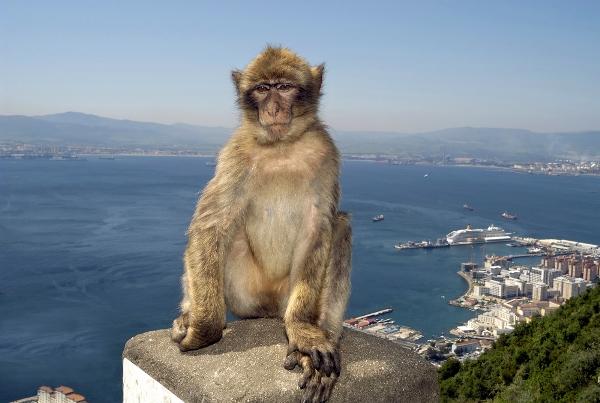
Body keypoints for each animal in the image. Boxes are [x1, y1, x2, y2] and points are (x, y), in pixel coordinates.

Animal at [170, 45, 352, 402]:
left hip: (284, 295)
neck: (281, 145)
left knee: (340, 226)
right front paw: (204, 328)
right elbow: (211, 225)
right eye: (262, 89)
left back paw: (322, 333)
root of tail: (267, 311)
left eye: (284, 87)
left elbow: (318, 228)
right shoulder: (235, 154)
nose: (273, 107)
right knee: (224, 236)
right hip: (244, 293)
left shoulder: (326, 152)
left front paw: (303, 333)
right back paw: (189, 313)